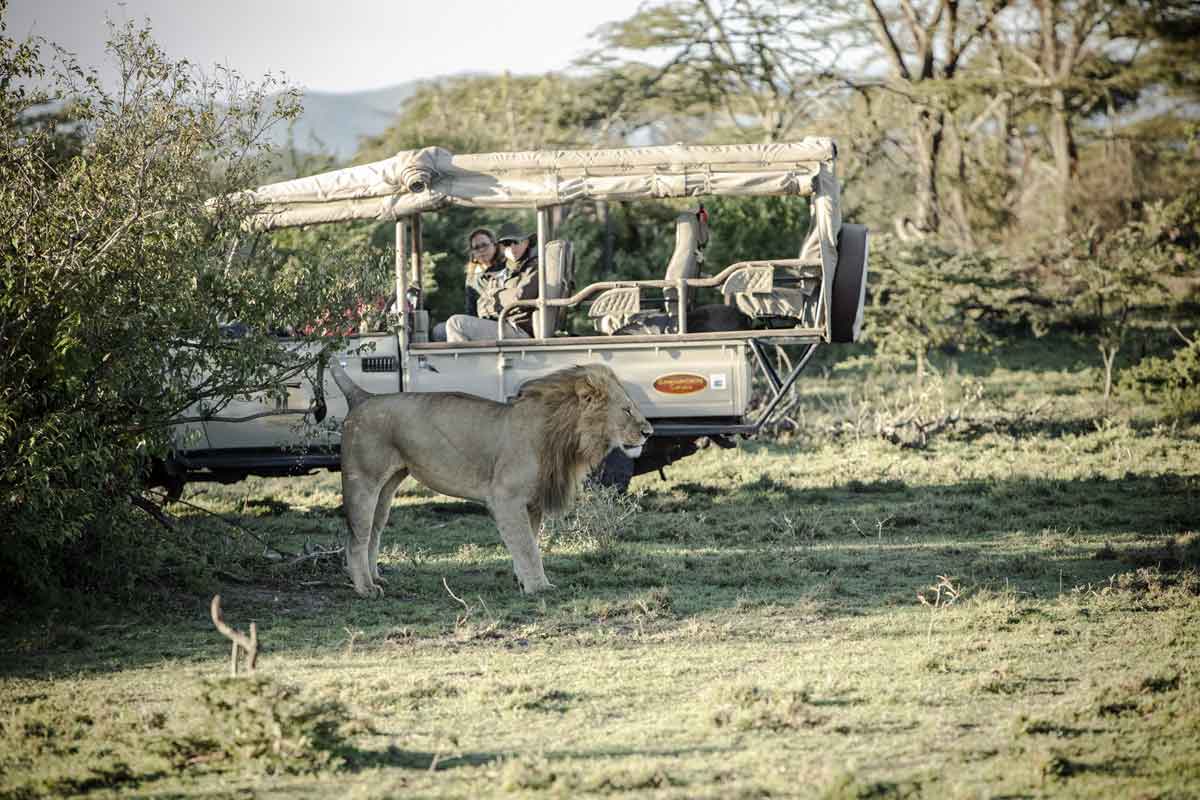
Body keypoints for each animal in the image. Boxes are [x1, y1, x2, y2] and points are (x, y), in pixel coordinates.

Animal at [324, 359, 652, 597]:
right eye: (626, 410)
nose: (648, 432)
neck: (564, 434)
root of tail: (362, 397)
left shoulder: (532, 503)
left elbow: (528, 542)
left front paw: (523, 580)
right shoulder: (507, 497)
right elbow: (527, 546)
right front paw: (539, 587)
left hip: (387, 488)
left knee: (374, 532)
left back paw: (376, 578)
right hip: (363, 481)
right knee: (356, 537)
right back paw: (365, 589)